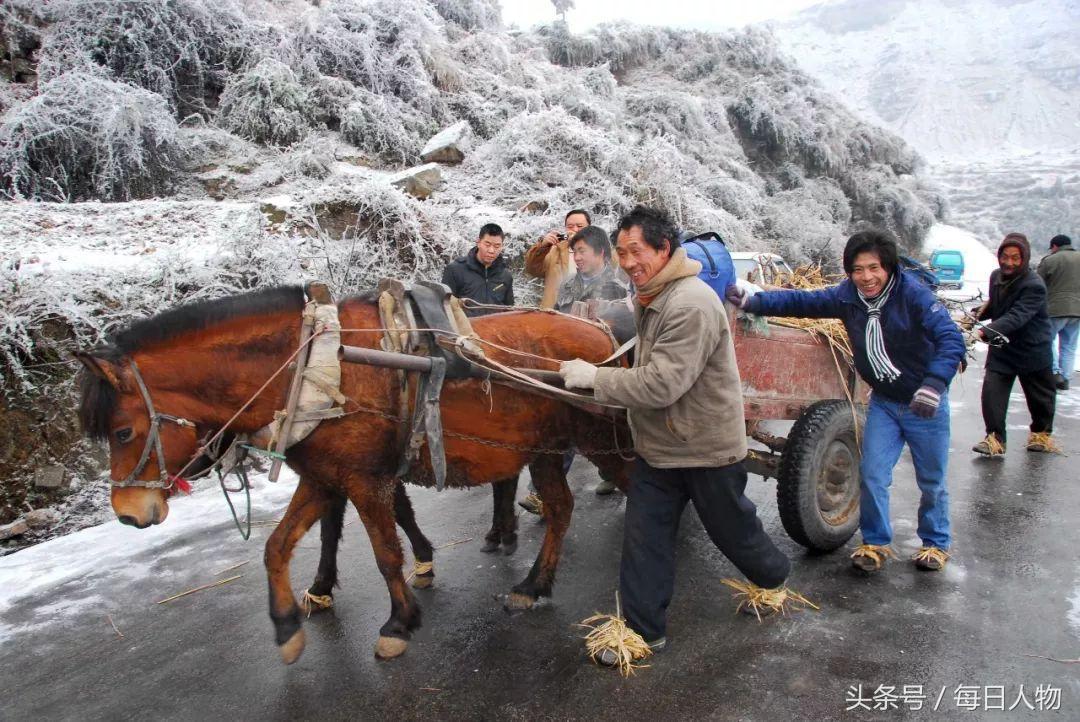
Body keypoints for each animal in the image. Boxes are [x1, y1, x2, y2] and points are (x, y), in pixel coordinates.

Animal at [78, 284, 630, 664]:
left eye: (123, 431)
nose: (128, 514)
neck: (313, 366)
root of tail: (602, 333)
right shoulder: (323, 477)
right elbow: (277, 546)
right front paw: (287, 625)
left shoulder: (366, 480)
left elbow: (386, 554)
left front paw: (399, 623)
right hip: (544, 449)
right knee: (560, 508)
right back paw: (534, 585)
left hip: (604, 440)